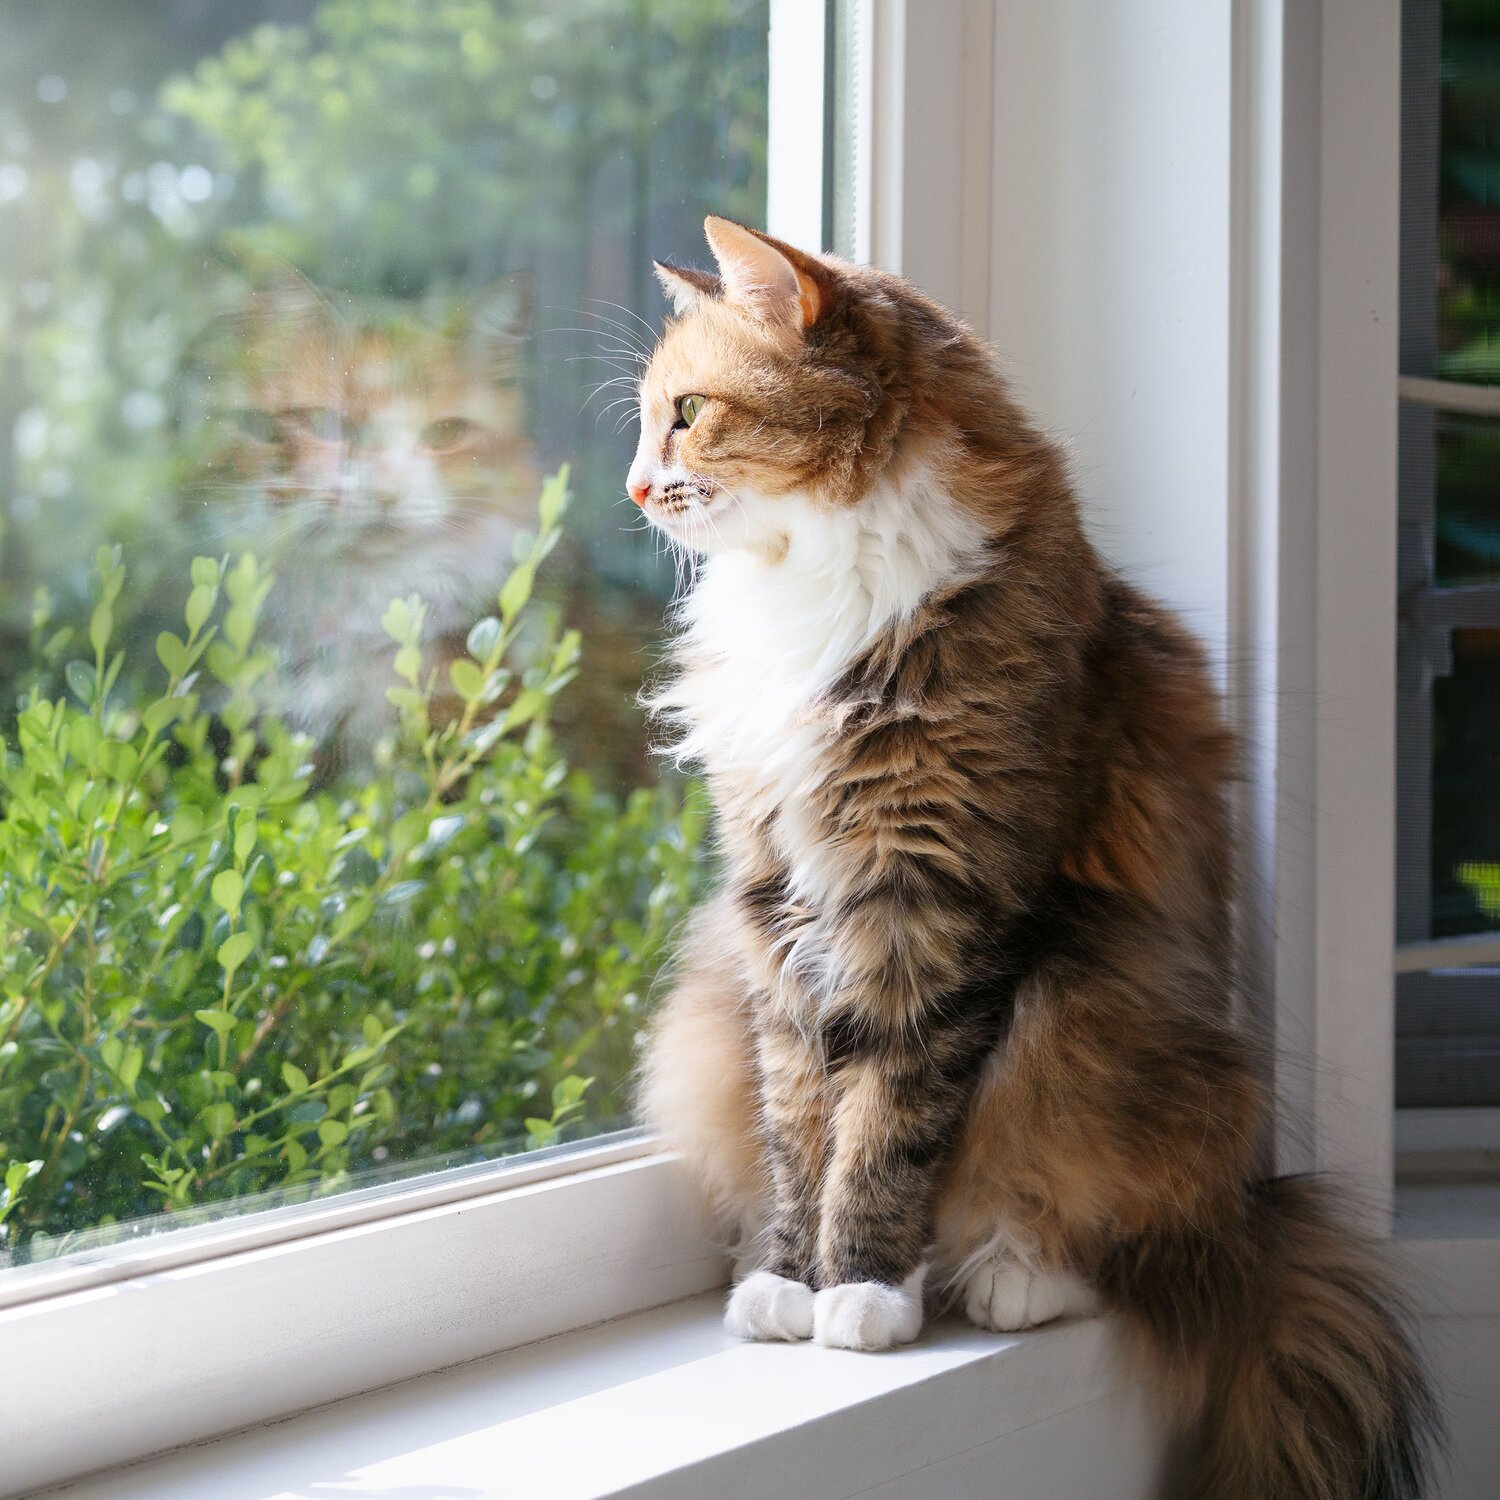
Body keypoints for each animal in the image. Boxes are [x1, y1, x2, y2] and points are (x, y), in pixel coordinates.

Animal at [627, 219, 1434, 1500]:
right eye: (651, 418)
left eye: (688, 414)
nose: (635, 486)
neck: (817, 583)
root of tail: (1244, 1212)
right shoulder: (776, 911)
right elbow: (801, 1124)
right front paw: (791, 1282)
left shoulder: (937, 900)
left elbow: (890, 1123)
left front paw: (863, 1291)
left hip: (1094, 1000)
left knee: (1081, 1210)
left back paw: (1010, 1272)